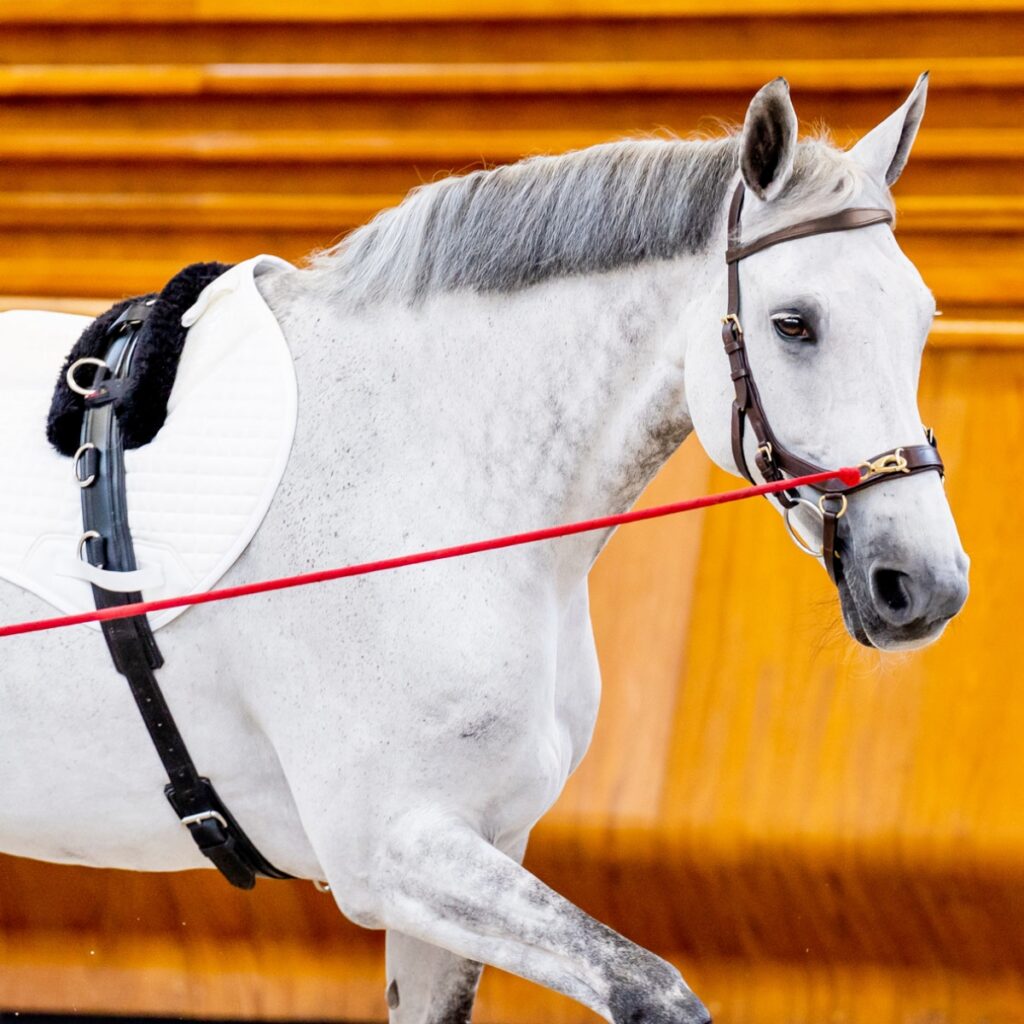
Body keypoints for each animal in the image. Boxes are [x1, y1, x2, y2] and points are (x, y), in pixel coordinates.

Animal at [0, 75, 968, 1024]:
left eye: (923, 318)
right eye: (793, 323)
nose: (925, 583)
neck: (422, 466)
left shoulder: (474, 851)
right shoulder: (394, 849)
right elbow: (654, 991)